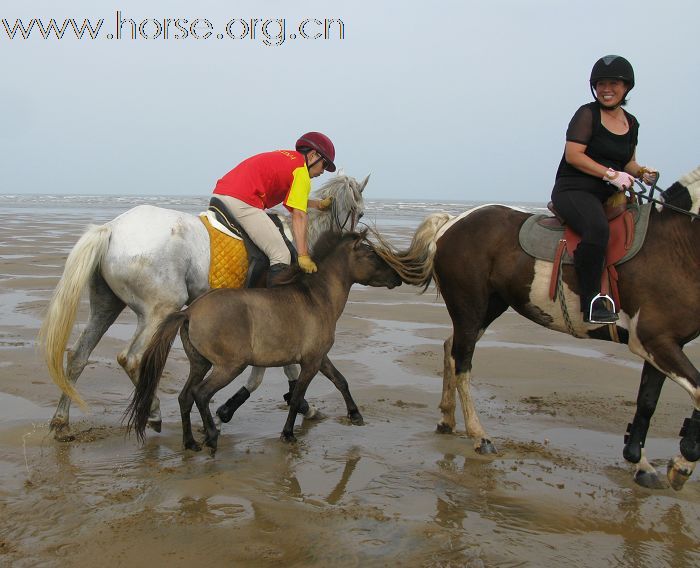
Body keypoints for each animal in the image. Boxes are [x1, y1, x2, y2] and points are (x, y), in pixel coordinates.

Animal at [38, 173, 370, 440]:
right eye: (362, 210)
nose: (357, 239)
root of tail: (111, 229)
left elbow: (279, 367)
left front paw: (296, 403)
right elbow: (273, 370)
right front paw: (294, 404)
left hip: (107, 305)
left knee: (79, 355)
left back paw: (60, 421)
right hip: (160, 309)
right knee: (132, 359)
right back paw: (154, 412)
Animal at [125, 231, 400, 452]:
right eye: (372, 253)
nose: (397, 277)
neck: (316, 297)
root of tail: (190, 311)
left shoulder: (319, 358)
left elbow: (340, 381)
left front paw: (355, 415)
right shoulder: (311, 363)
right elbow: (297, 396)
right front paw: (288, 434)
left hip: (200, 363)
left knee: (185, 397)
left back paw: (191, 442)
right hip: (229, 366)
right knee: (200, 394)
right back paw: (211, 437)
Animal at [374, 164, 700, 488]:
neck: (674, 245)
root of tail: (452, 222)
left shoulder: (662, 344)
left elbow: (647, 402)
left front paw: (641, 464)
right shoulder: (653, 341)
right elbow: (697, 392)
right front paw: (682, 462)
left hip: (489, 307)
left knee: (451, 350)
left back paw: (447, 419)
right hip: (469, 306)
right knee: (462, 362)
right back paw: (480, 436)